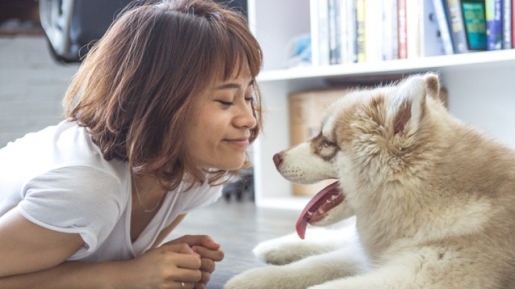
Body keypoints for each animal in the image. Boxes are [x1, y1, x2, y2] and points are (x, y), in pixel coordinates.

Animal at [227, 73, 515, 286]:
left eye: (327, 143)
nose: (275, 158)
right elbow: (316, 264)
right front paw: (256, 278)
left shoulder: (415, 274)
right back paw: (275, 247)